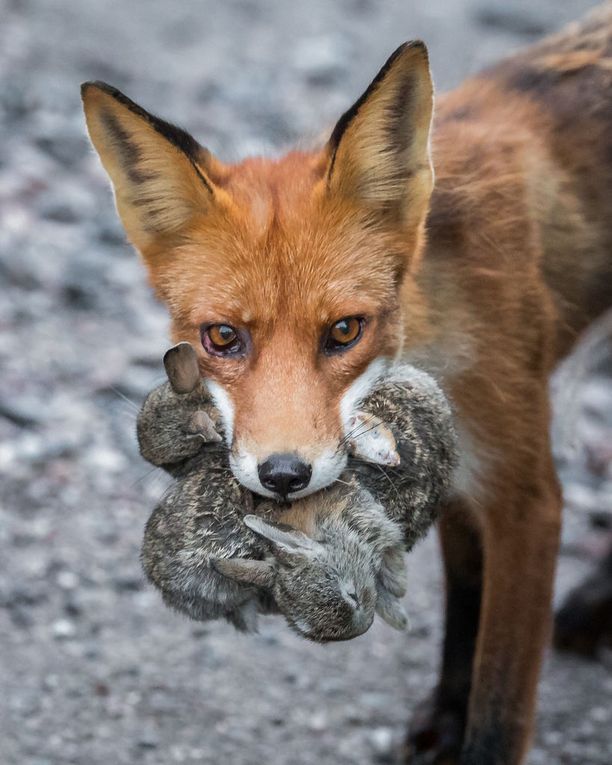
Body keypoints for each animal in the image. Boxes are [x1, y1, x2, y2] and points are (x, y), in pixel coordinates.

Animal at [79, 2, 612, 760]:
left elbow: (501, 704)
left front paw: (470, 730)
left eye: (344, 331)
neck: (438, 322)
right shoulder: (459, 472)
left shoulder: (527, 496)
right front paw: (445, 717)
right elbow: (465, 610)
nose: (282, 476)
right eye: (223, 337)